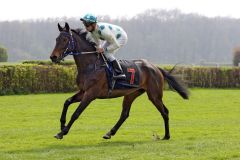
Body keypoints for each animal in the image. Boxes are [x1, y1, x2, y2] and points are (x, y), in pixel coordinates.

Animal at [50, 22, 189, 140]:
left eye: (65, 40)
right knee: (125, 114)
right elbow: (67, 102)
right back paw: (109, 133)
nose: (53, 57)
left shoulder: (91, 94)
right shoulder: (83, 91)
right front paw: (62, 125)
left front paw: (62, 132)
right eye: (56, 39)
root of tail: (155, 67)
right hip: (131, 94)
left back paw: (167, 135)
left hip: (154, 95)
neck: (91, 65)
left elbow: (76, 113)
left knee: (164, 111)